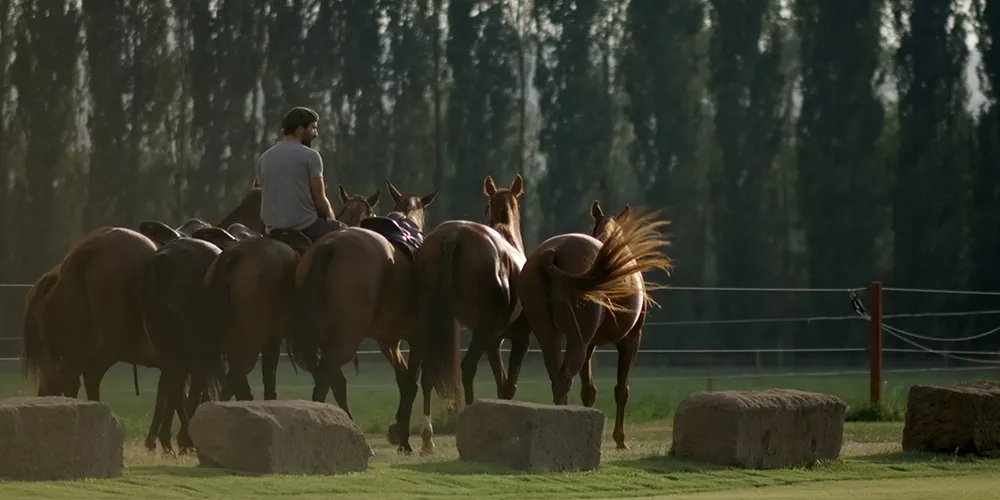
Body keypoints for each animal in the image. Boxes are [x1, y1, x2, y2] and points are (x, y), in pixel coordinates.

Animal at [284, 180, 436, 454]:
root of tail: (329, 247)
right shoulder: (416, 337)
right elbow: (412, 382)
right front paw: (405, 440)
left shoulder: (388, 341)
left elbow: (404, 381)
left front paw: (400, 433)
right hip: (346, 340)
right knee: (326, 378)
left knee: (331, 378)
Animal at [418, 176, 536, 418]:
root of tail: (454, 238)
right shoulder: (517, 339)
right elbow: (508, 385)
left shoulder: (493, 341)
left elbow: (502, 382)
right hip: (482, 330)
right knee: (468, 367)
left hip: (431, 322)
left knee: (428, 373)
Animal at [516, 201, 672, 452]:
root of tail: (552, 253)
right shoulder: (630, 340)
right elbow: (621, 390)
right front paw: (619, 438)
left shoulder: (590, 346)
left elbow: (588, 391)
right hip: (577, 342)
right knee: (563, 381)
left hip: (550, 336)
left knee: (556, 378)